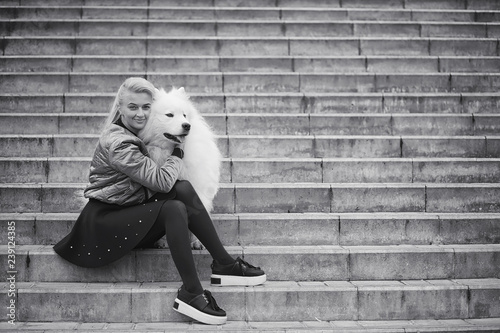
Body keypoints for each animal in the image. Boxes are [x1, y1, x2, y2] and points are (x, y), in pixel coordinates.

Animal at [138, 87, 222, 248]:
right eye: (169, 115)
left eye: (184, 115)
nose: (187, 125)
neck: (168, 151)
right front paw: (162, 242)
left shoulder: (197, 187)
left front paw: (197, 242)